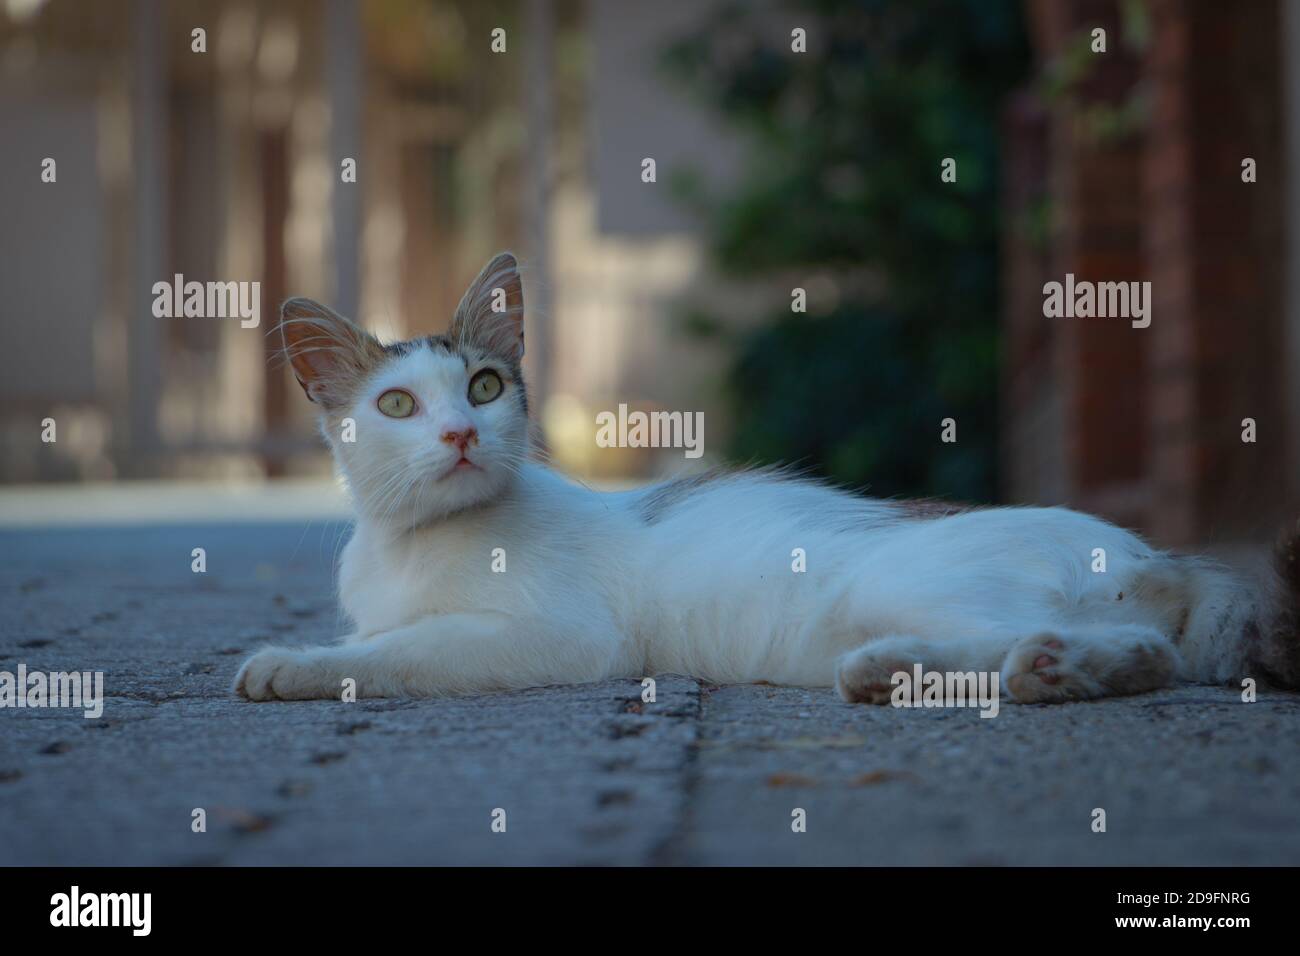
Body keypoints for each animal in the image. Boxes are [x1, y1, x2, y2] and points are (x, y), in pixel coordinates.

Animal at [236, 252, 1300, 702]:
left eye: (485, 387)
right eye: (398, 406)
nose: (460, 432)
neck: (412, 546)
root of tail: (1155, 552)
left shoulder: (562, 636)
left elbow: (399, 652)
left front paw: (290, 664)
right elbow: (380, 637)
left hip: (901, 575)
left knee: (1140, 650)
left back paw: (1033, 670)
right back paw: (913, 672)